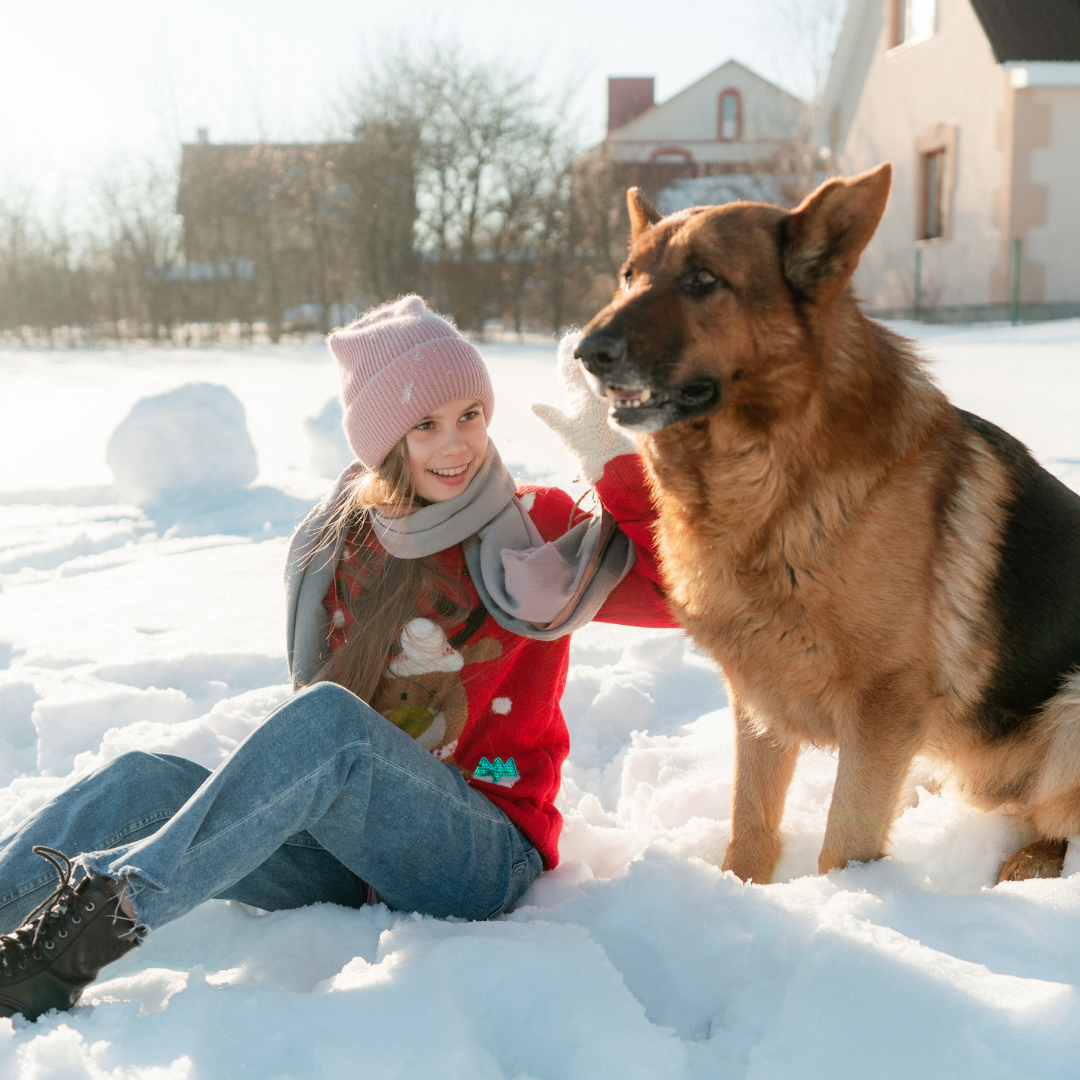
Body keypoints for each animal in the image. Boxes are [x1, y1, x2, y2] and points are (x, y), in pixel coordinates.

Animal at [578, 162, 1080, 885]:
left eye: (702, 279)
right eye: (628, 275)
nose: (587, 351)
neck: (776, 483)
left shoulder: (881, 710)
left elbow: (843, 844)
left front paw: (848, 899)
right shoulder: (758, 700)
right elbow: (750, 826)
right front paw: (741, 892)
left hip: (1070, 708)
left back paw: (1024, 866)